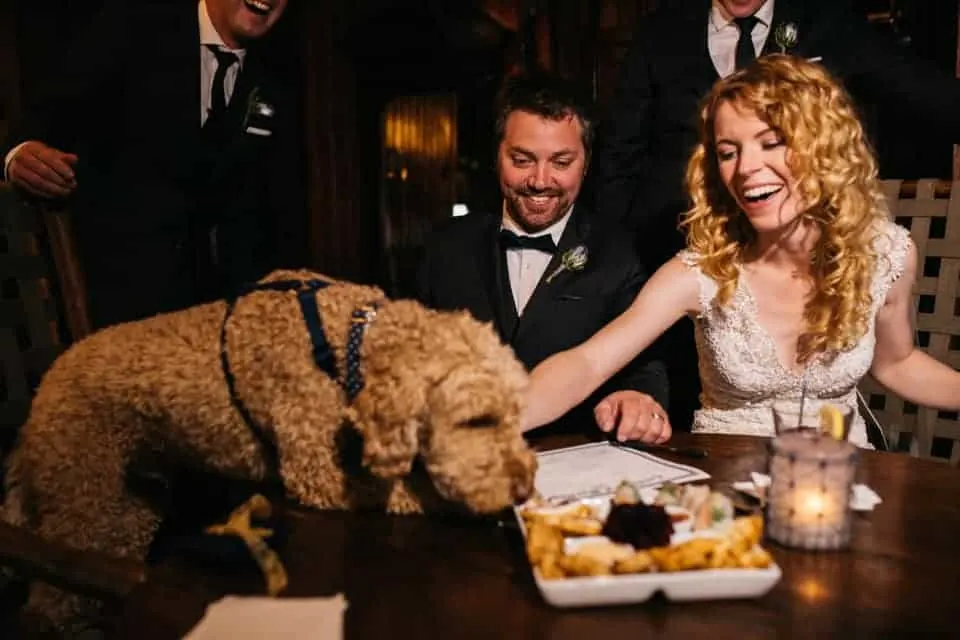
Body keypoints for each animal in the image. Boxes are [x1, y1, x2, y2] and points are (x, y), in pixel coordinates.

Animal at [3, 268, 536, 624]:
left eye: (517, 412)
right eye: (477, 420)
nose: (524, 489)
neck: (345, 339)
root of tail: (40, 389)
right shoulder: (316, 473)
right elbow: (407, 490)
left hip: (130, 507)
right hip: (84, 503)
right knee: (49, 598)